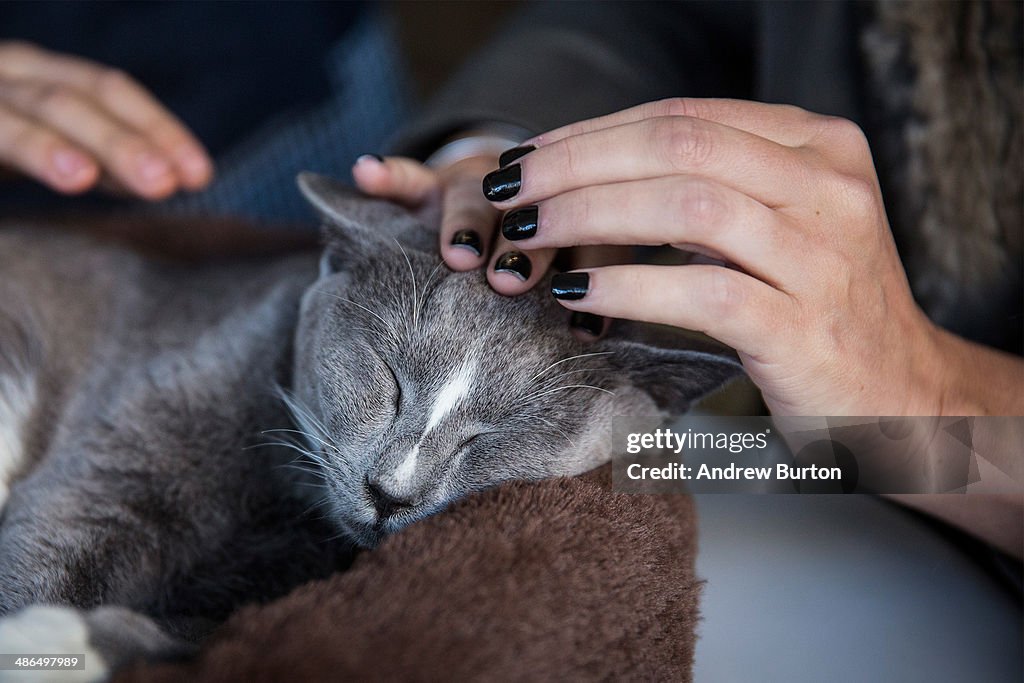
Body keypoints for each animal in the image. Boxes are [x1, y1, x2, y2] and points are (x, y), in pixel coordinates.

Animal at [0, 174, 741, 675]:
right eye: (388, 378)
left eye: (495, 435)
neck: (282, 506)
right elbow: (47, 553)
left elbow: (197, 638)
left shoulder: (264, 592)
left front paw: (63, 640)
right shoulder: (114, 469)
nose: (390, 491)